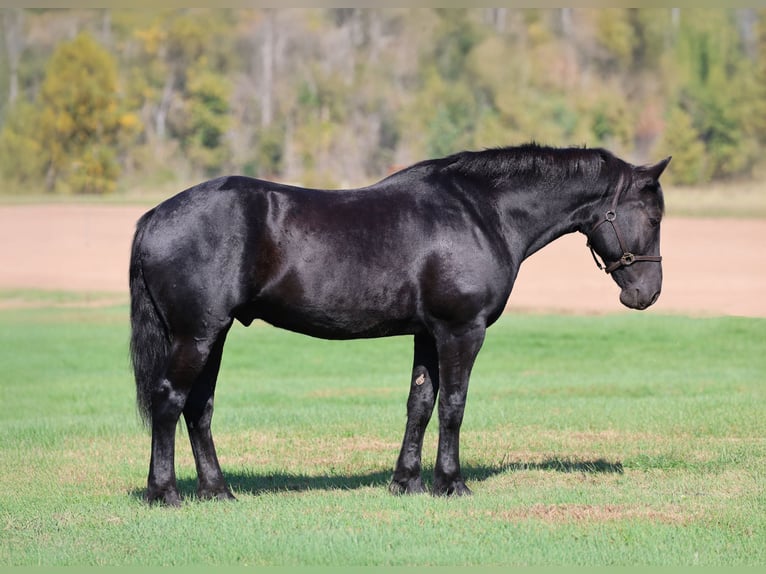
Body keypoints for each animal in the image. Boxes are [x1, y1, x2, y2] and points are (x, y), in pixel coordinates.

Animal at [129, 143, 670, 505]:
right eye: (653, 216)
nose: (646, 293)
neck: (483, 212)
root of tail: (154, 216)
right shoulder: (461, 330)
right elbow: (453, 406)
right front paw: (451, 483)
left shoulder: (427, 334)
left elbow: (420, 404)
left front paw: (406, 481)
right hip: (196, 336)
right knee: (169, 400)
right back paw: (164, 493)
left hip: (213, 335)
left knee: (198, 408)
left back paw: (217, 491)